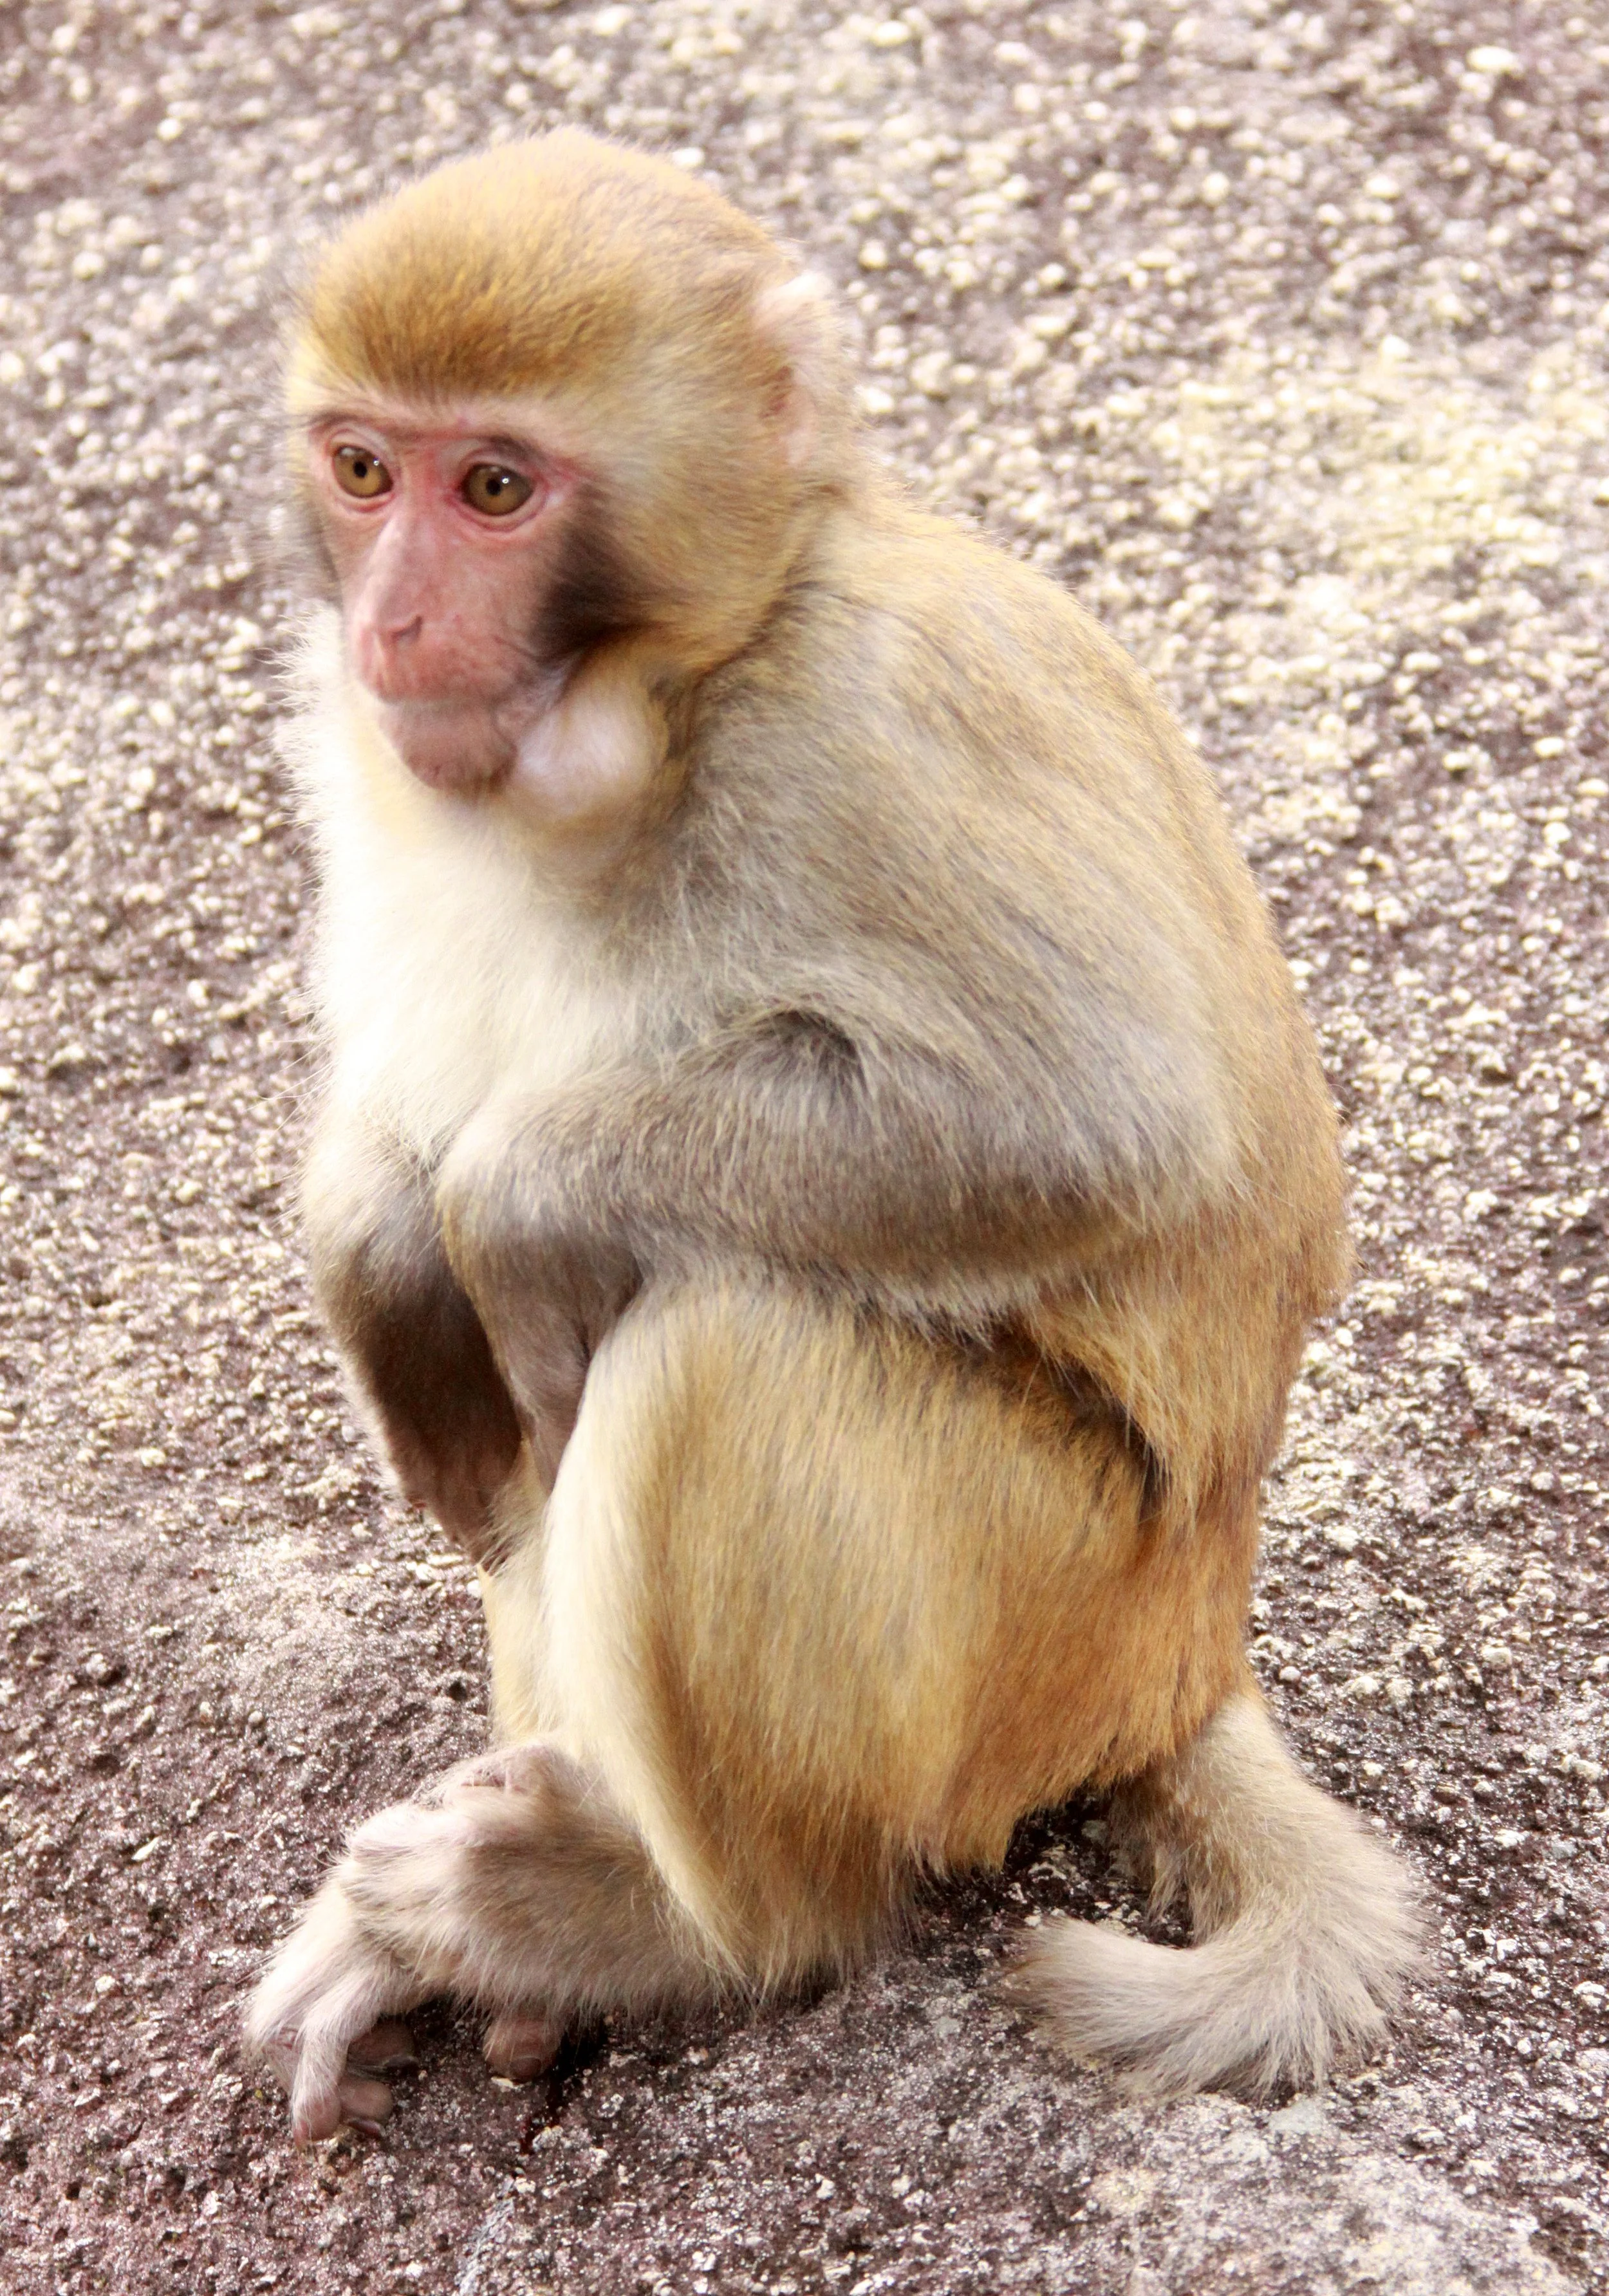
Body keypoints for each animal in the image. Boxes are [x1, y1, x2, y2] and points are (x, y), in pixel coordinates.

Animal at [244, 130, 1420, 2144]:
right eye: (365, 468)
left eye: (499, 488)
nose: (392, 623)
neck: (668, 696)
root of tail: (1186, 1651)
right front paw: (376, 1241)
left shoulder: (858, 732)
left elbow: (1092, 1117)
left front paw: (504, 1199)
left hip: (1047, 1612)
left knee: (721, 1341)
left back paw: (661, 1920)